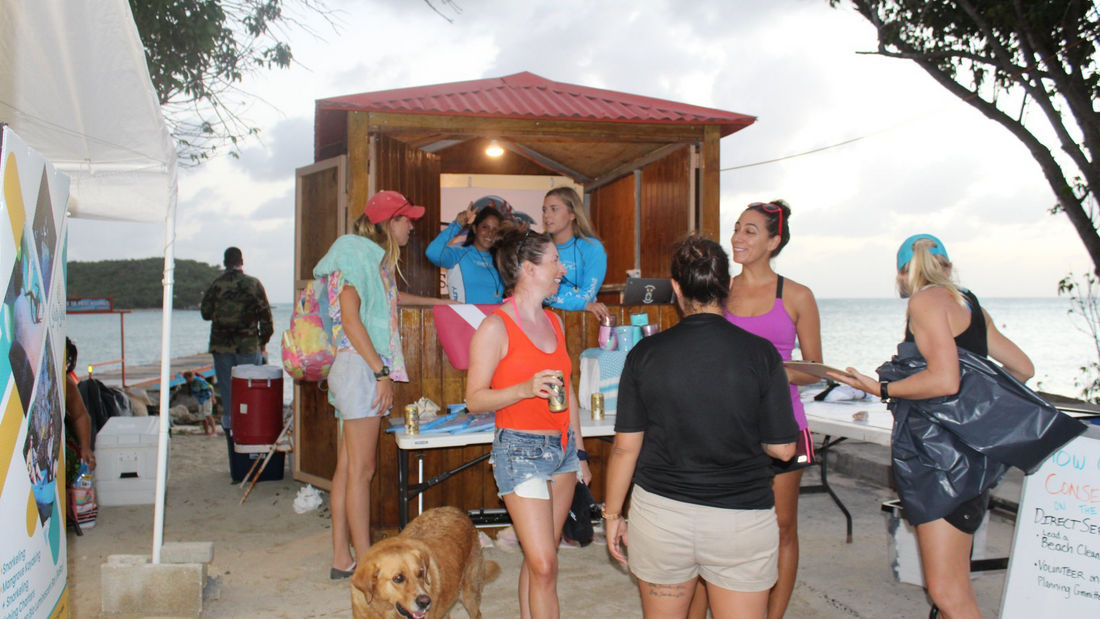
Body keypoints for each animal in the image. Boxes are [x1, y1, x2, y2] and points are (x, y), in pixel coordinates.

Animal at [349, 507, 501, 619]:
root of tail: (458, 510)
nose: (426, 602)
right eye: (398, 578)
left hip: (470, 595)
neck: (385, 610)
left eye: (421, 573)